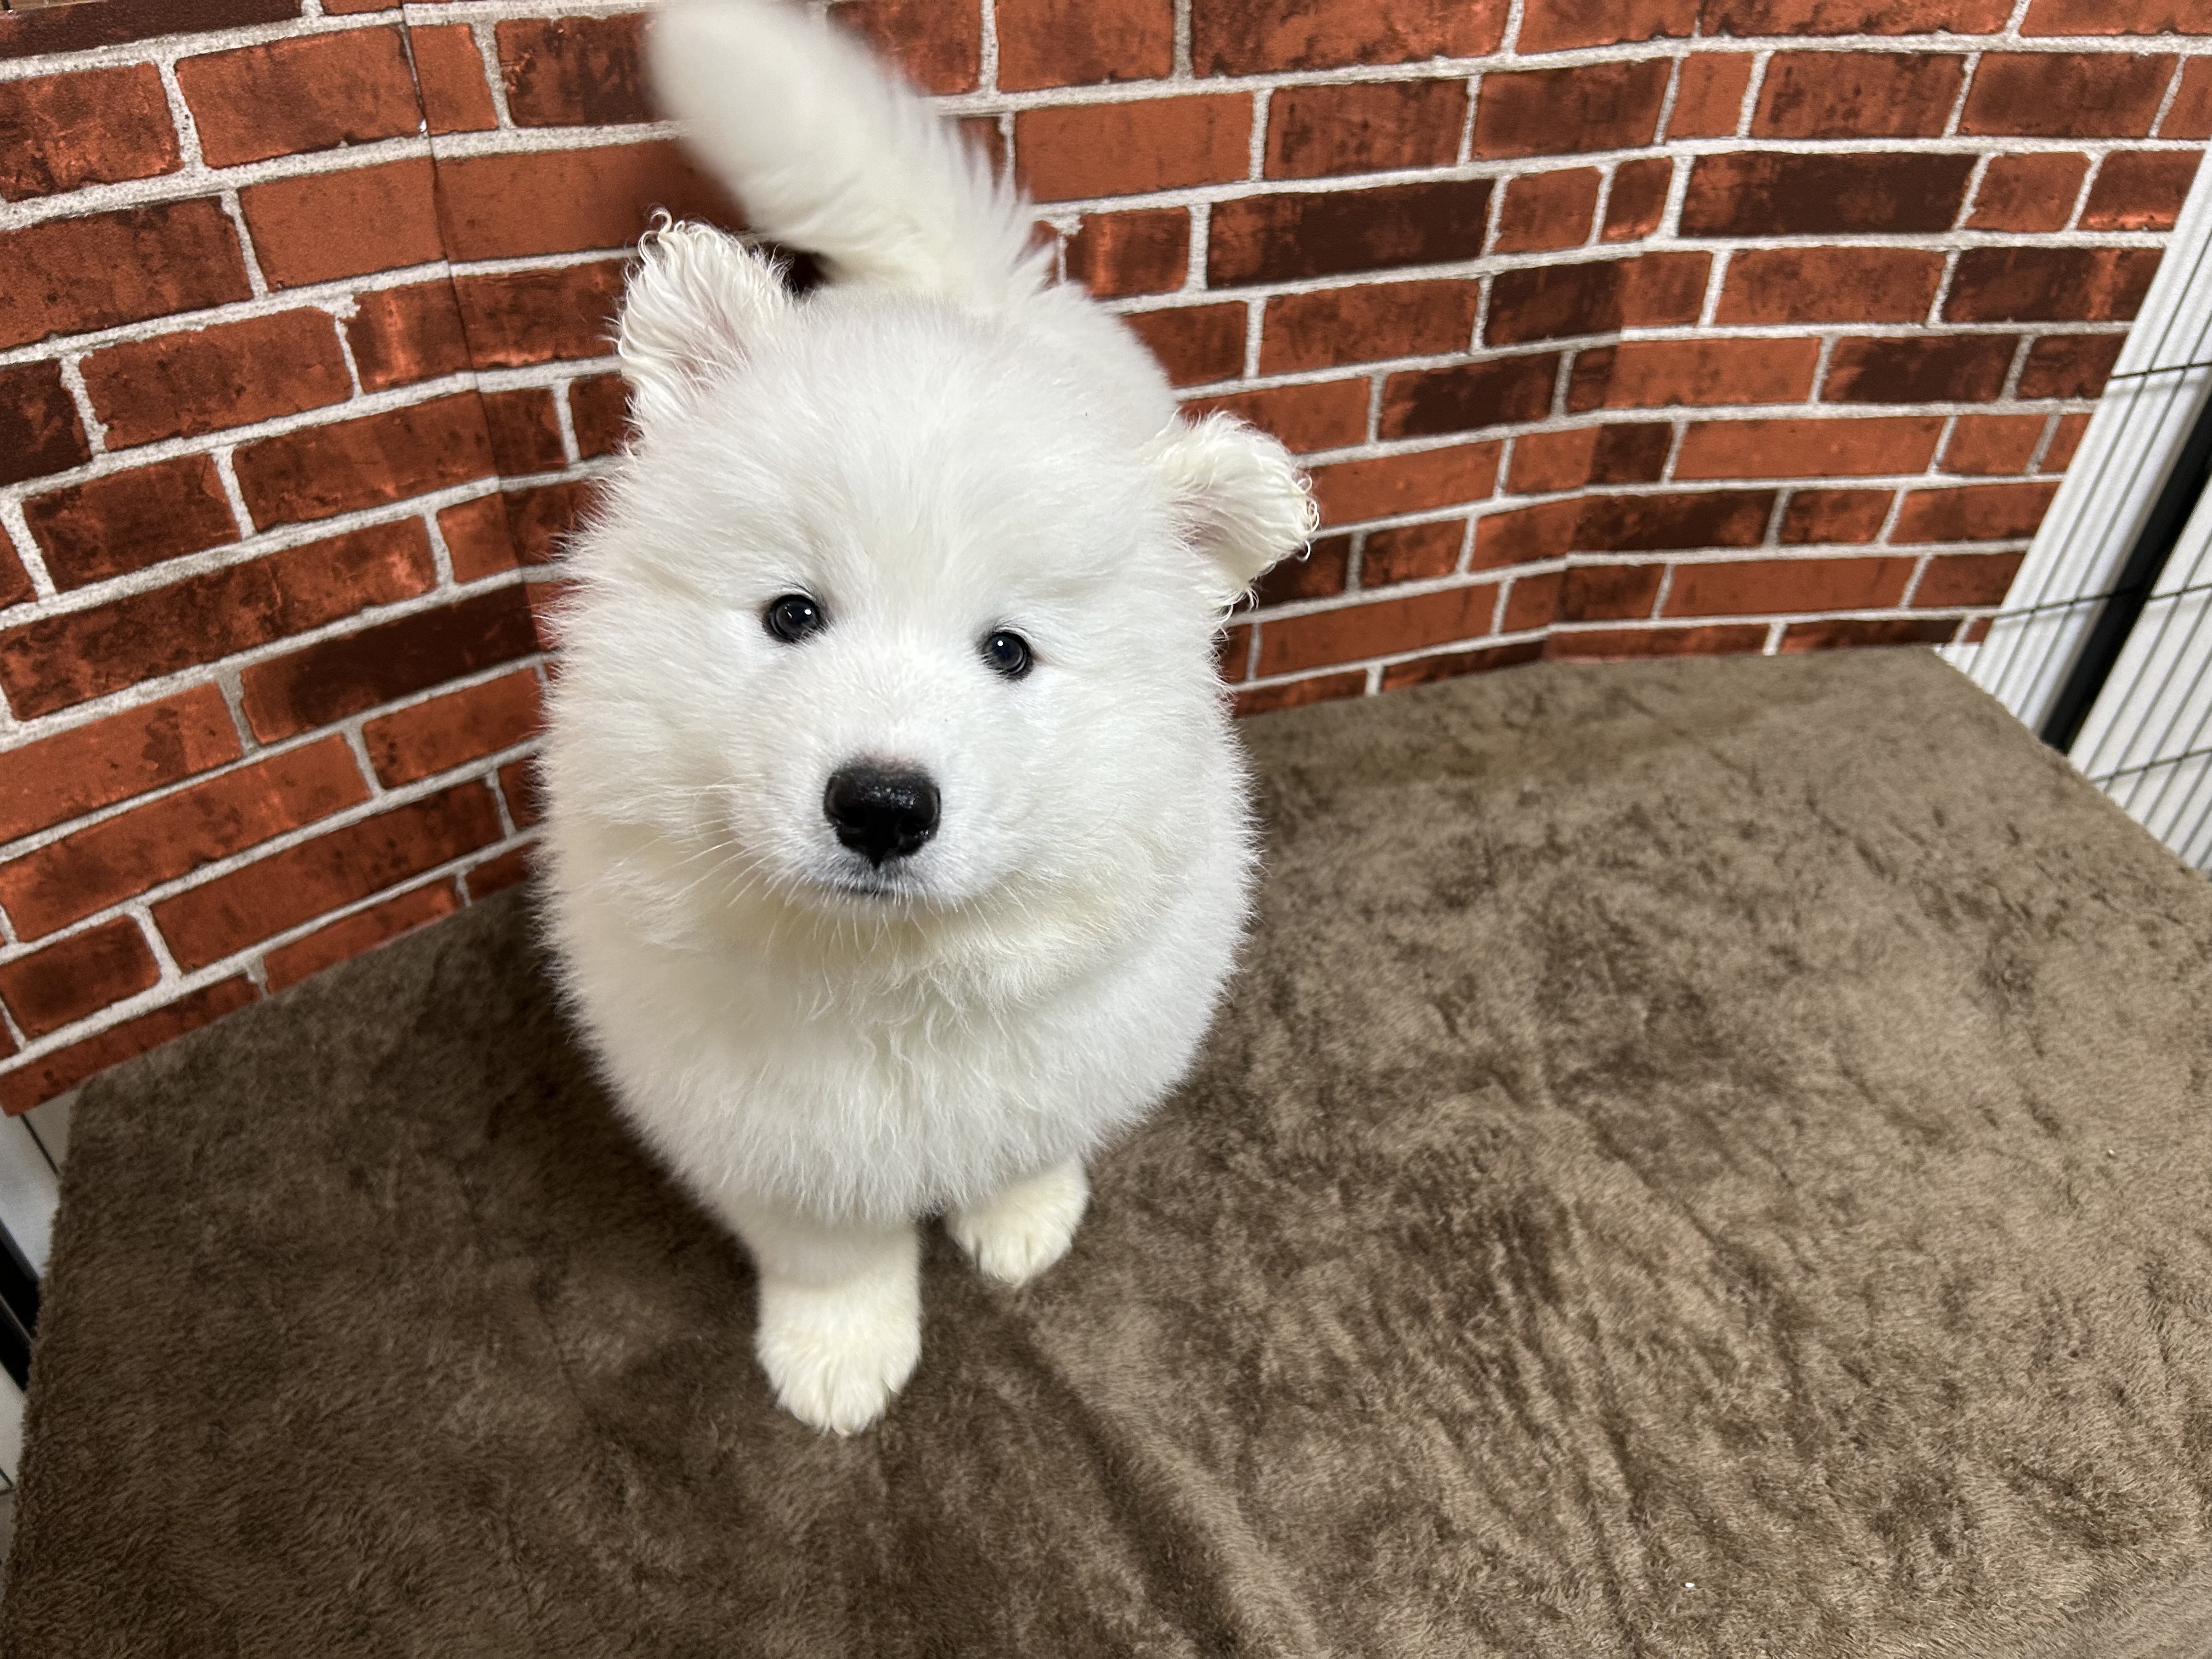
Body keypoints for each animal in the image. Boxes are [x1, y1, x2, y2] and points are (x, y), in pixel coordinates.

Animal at [539, 0, 1315, 1433]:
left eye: (1009, 653)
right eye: (792, 616)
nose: (884, 805)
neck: (889, 978)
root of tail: (958, 288)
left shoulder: (1077, 1026)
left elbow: (1025, 1148)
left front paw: (1020, 1224)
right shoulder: (755, 1118)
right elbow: (827, 1248)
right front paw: (841, 1355)